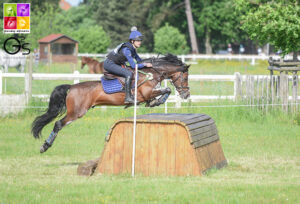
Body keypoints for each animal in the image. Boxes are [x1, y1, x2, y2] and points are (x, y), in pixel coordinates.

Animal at [32, 54, 190, 153]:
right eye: (185, 78)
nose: (186, 95)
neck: (152, 73)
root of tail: (72, 87)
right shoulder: (146, 93)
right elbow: (168, 89)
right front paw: (157, 102)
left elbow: (165, 91)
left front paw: (154, 102)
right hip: (76, 112)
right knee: (58, 124)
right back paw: (45, 146)